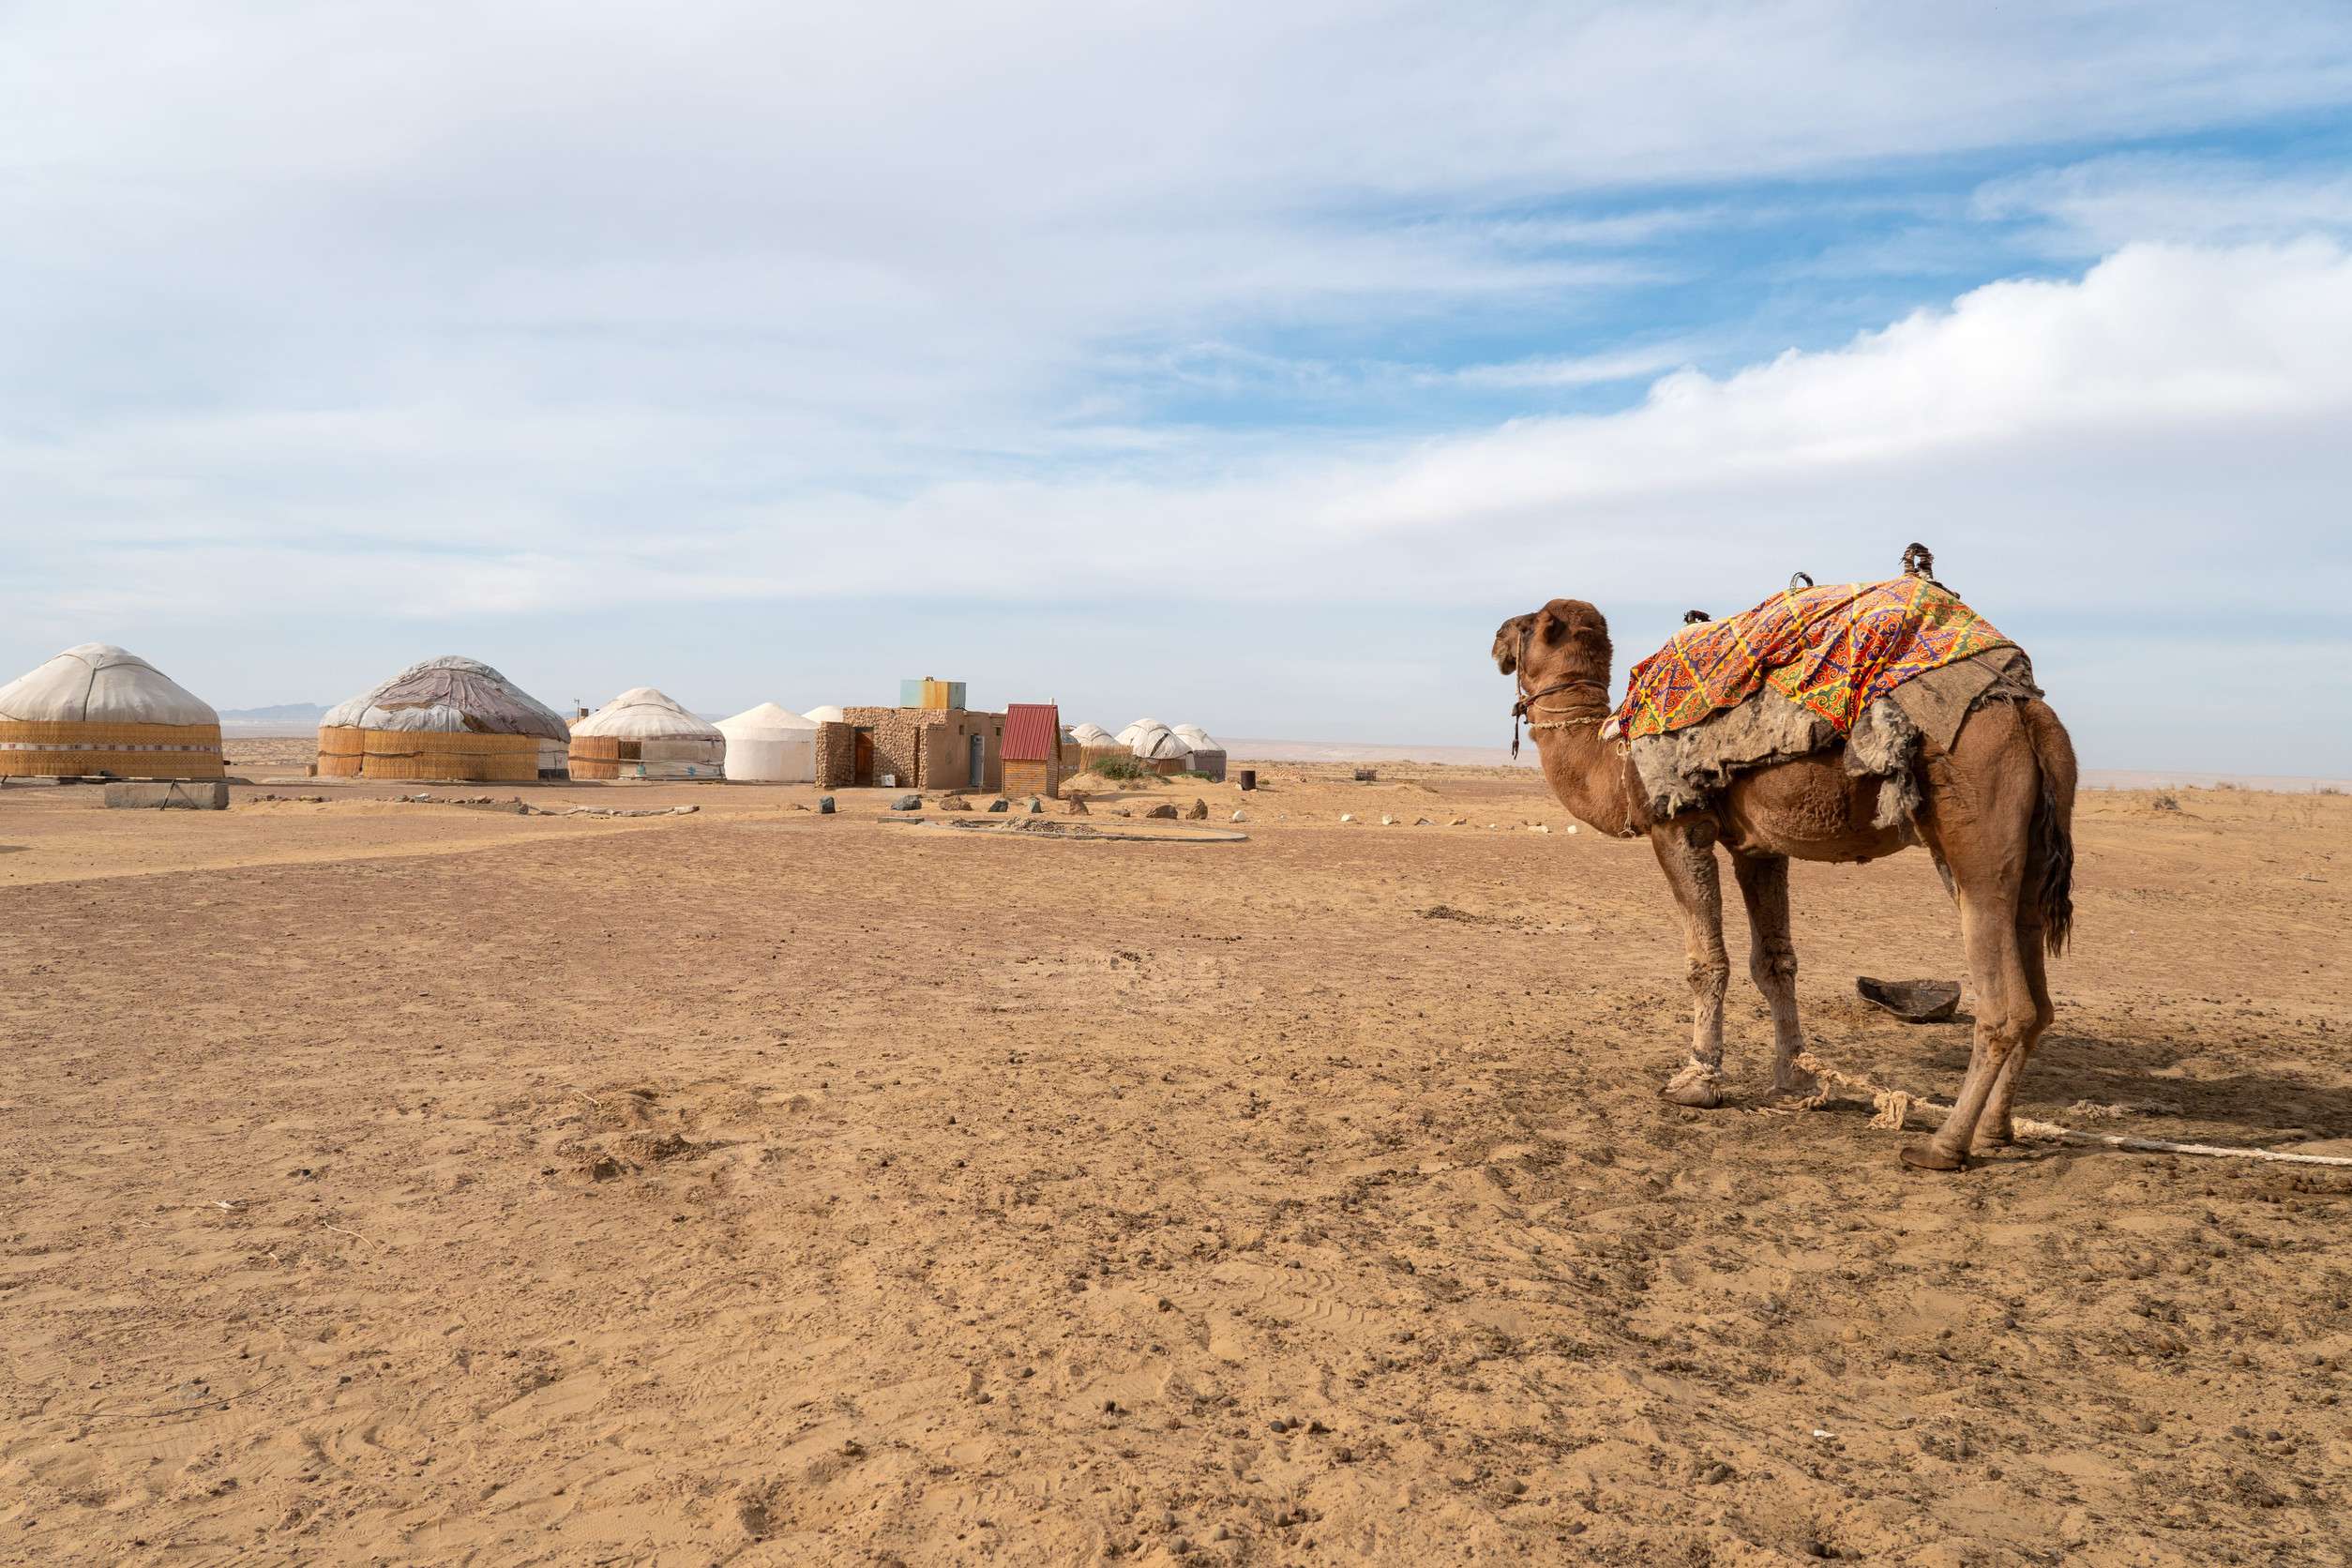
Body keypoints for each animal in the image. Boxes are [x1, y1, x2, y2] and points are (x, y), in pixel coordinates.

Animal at [1492, 595, 2077, 1171]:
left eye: (1529, 625)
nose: (1496, 637)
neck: (1611, 760)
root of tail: (2028, 713)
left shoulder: (1679, 826)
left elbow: (1707, 961)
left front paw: (1697, 1080)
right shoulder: (1758, 846)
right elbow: (1775, 963)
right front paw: (1793, 1080)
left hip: (1973, 830)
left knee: (2005, 1004)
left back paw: (1943, 1146)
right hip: (2033, 847)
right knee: (2038, 997)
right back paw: (1997, 1132)